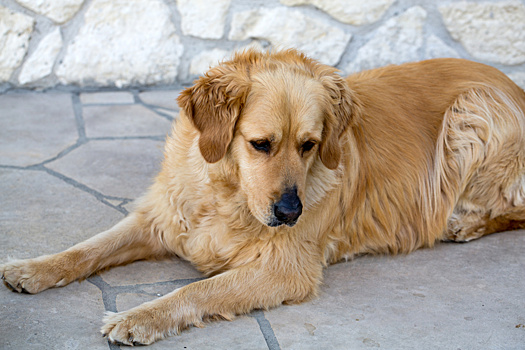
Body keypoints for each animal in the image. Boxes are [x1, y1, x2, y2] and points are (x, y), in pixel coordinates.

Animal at [3, 49, 524, 344]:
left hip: (472, 112)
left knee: (513, 209)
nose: (291, 213)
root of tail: (510, 84)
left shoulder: (284, 269)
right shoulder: (161, 217)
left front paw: (141, 316)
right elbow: (87, 249)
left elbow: (196, 289)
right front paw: (33, 268)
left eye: (310, 145)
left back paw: (465, 222)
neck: (227, 192)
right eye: (260, 144)